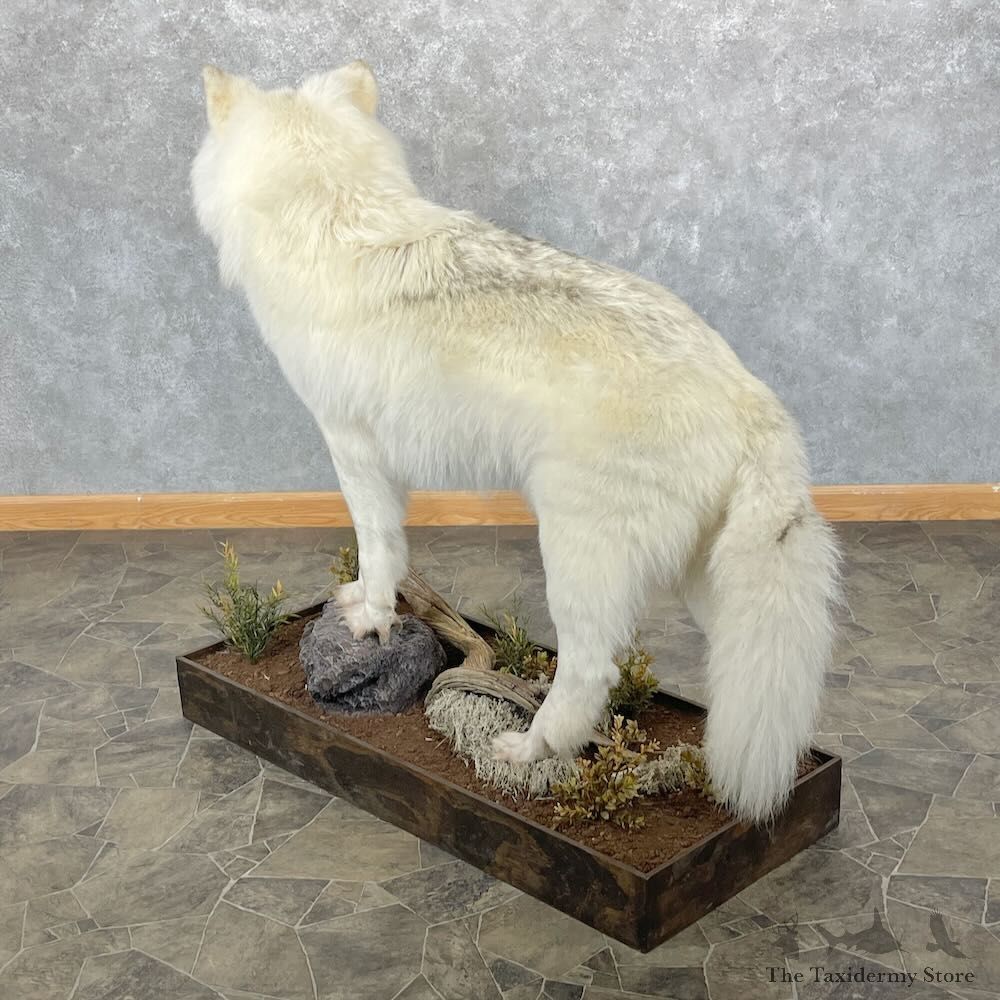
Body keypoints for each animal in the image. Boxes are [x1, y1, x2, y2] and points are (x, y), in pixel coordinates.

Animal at [191, 61, 840, 823]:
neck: (332, 212)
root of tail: (749, 394)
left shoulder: (353, 449)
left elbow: (379, 552)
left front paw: (370, 619)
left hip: (576, 557)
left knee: (590, 671)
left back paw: (530, 750)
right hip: (710, 585)